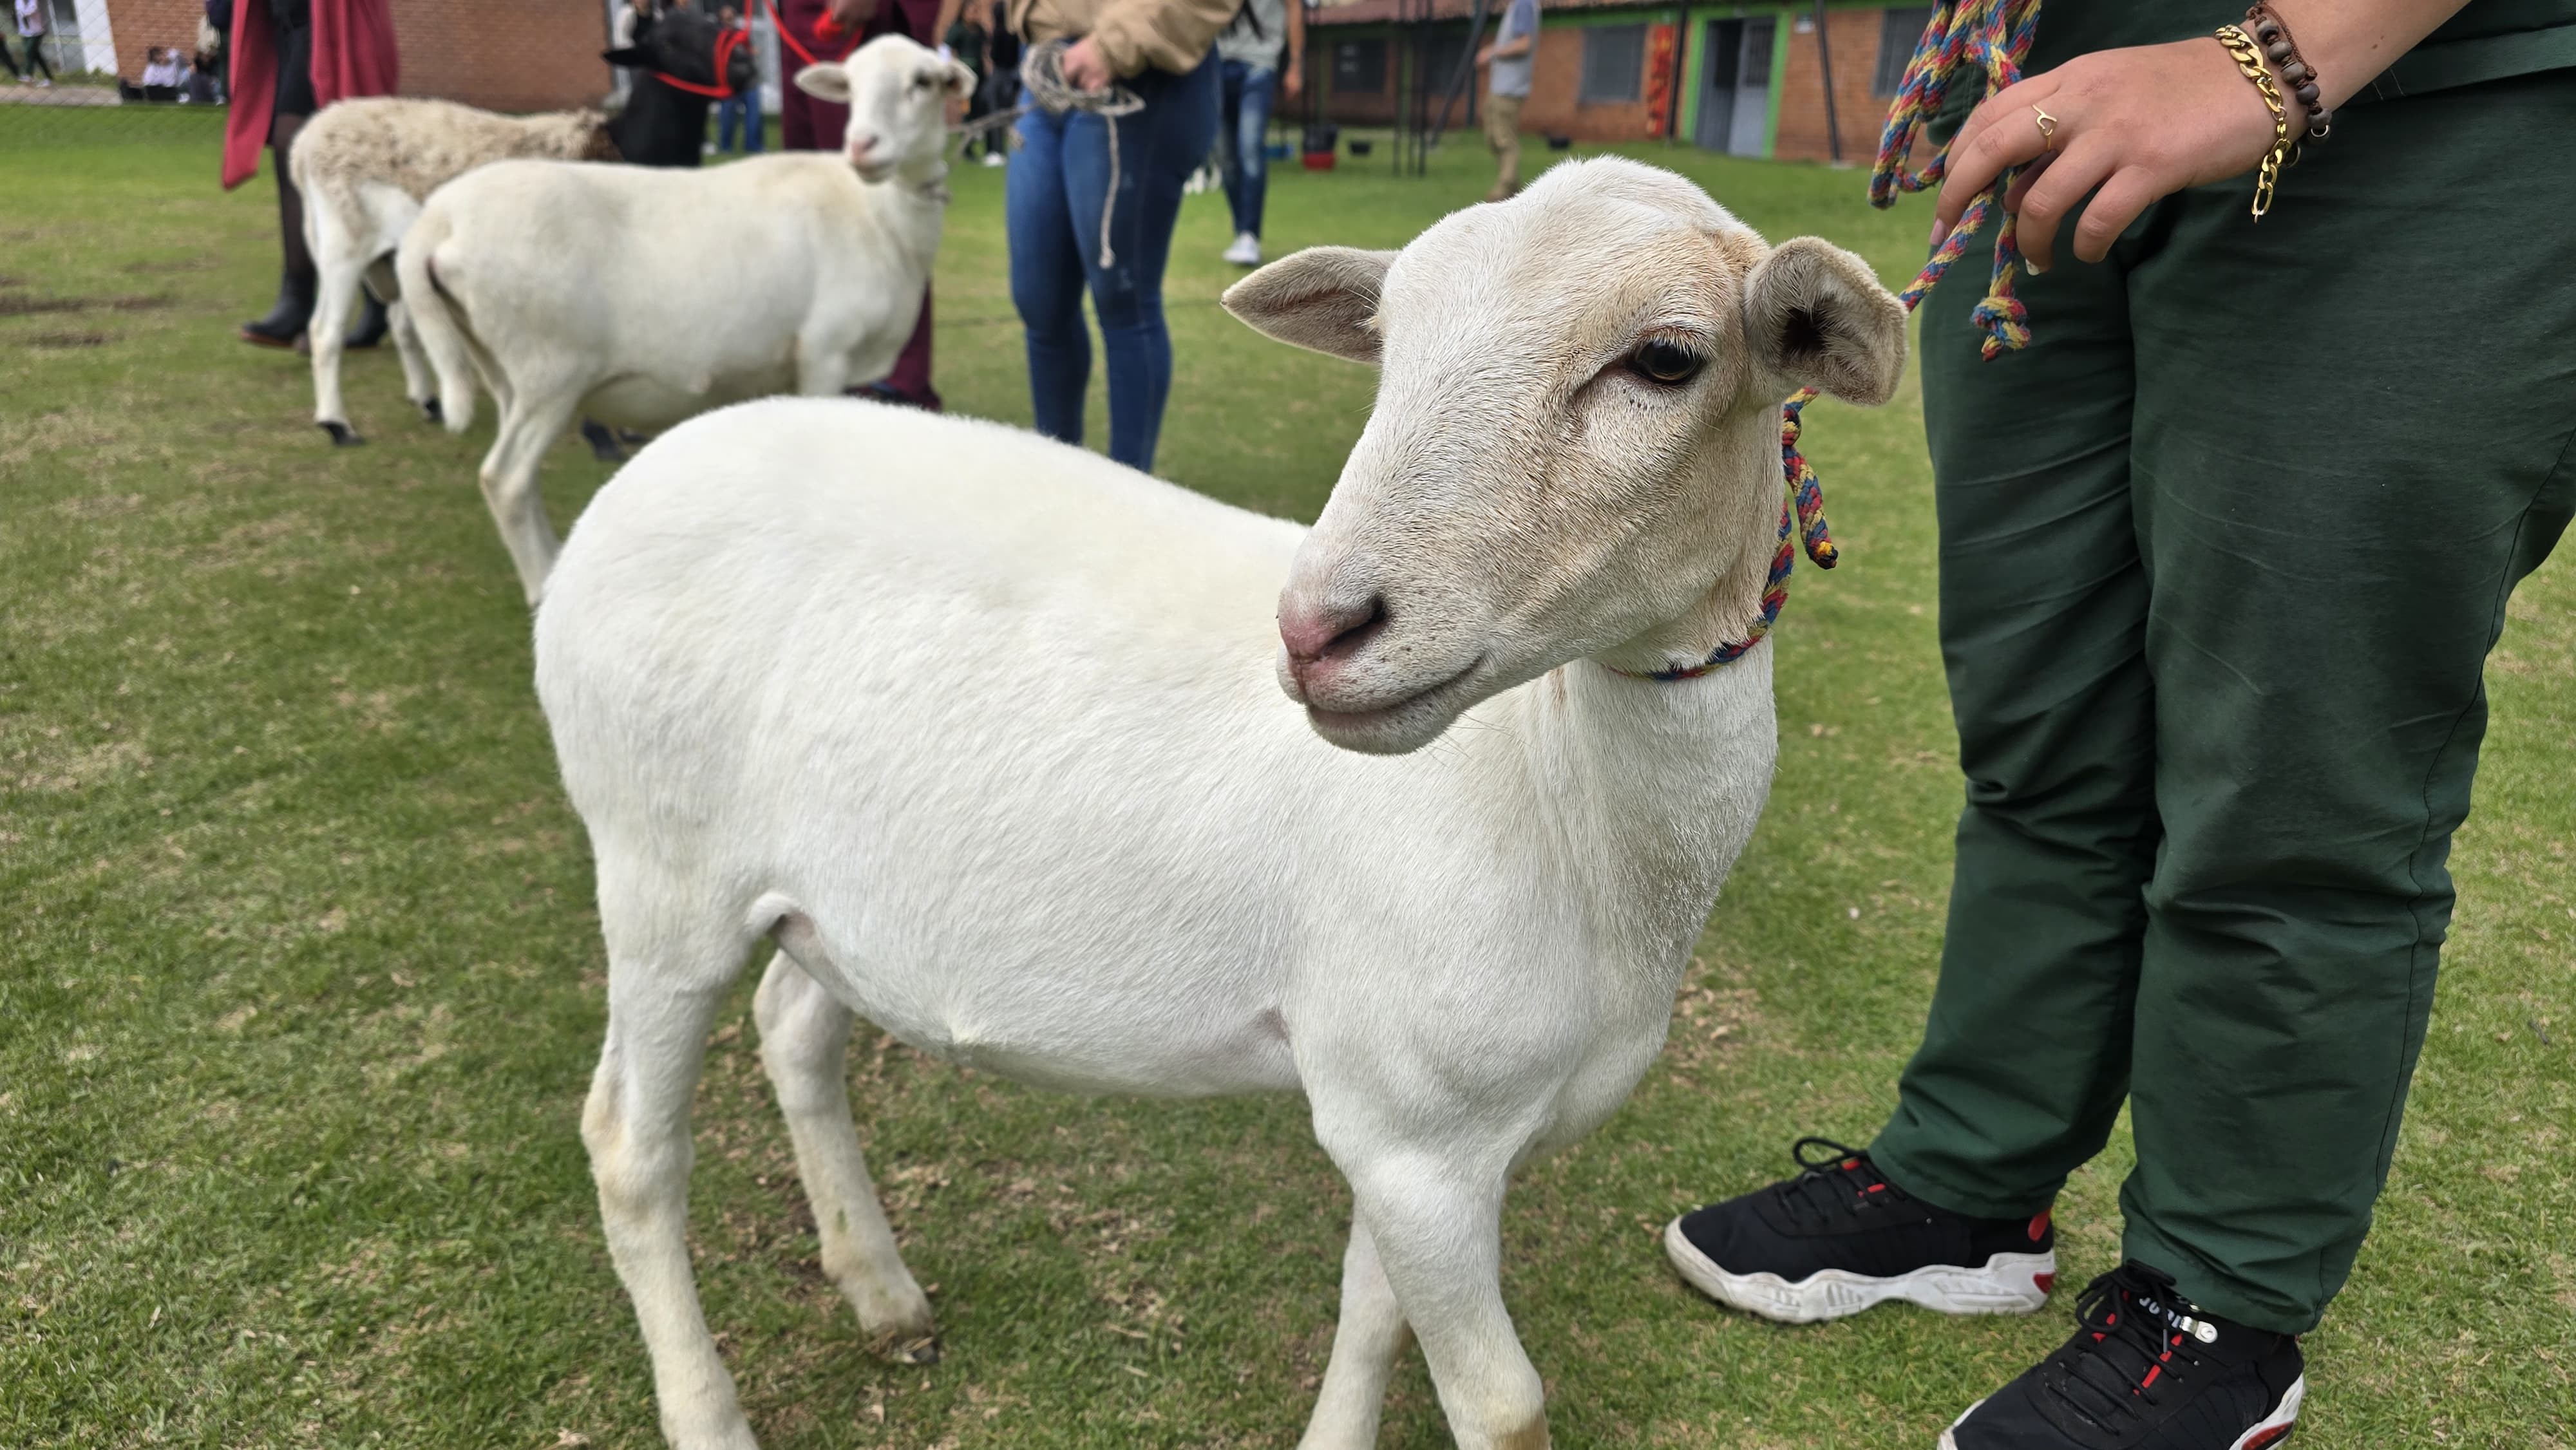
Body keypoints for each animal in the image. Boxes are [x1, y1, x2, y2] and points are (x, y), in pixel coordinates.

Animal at [295, 0, 752, 446]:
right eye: (670, 44)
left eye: (713, 23)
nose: (746, 63)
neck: (627, 145)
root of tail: (307, 140)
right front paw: (601, 435)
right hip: (343, 240)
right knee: (325, 331)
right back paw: (337, 424)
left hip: (393, 251)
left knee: (402, 325)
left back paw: (427, 402)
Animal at [397, 34, 969, 605]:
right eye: (850, 85)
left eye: (923, 82)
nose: (863, 147)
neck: (880, 214)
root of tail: (438, 220)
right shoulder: (825, 353)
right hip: (551, 367)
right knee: (507, 480)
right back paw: (542, 588)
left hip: (503, 366)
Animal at [533, 153, 1917, 1442]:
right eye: (1388, 342)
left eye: (1668, 360)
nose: (1318, 629)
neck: (1567, 807)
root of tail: (647, 470)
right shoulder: (1419, 1130)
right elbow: (1501, 1402)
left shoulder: (1405, 1120)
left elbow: (1371, 1314)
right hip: (658, 865)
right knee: (631, 1147)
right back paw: (708, 1410)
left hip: (827, 892)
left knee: (793, 1031)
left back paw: (882, 1292)